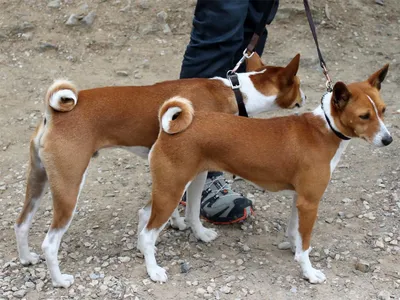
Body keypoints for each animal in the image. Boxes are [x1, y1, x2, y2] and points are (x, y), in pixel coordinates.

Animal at [14, 52, 304, 288]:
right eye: (300, 85)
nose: (305, 97)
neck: (234, 91)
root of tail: (53, 112)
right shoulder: (197, 168)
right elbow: (193, 208)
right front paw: (199, 233)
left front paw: (174, 223)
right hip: (69, 186)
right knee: (50, 242)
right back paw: (60, 280)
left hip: (39, 181)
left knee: (21, 223)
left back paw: (27, 258)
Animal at [140, 63, 390, 284]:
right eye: (364, 116)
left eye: (383, 110)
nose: (388, 140)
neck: (324, 129)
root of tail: (169, 129)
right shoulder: (310, 202)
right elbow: (306, 245)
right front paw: (309, 272)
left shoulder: (300, 199)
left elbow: (295, 232)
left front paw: (293, 249)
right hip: (171, 191)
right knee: (148, 233)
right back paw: (154, 271)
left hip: (171, 188)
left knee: (145, 216)